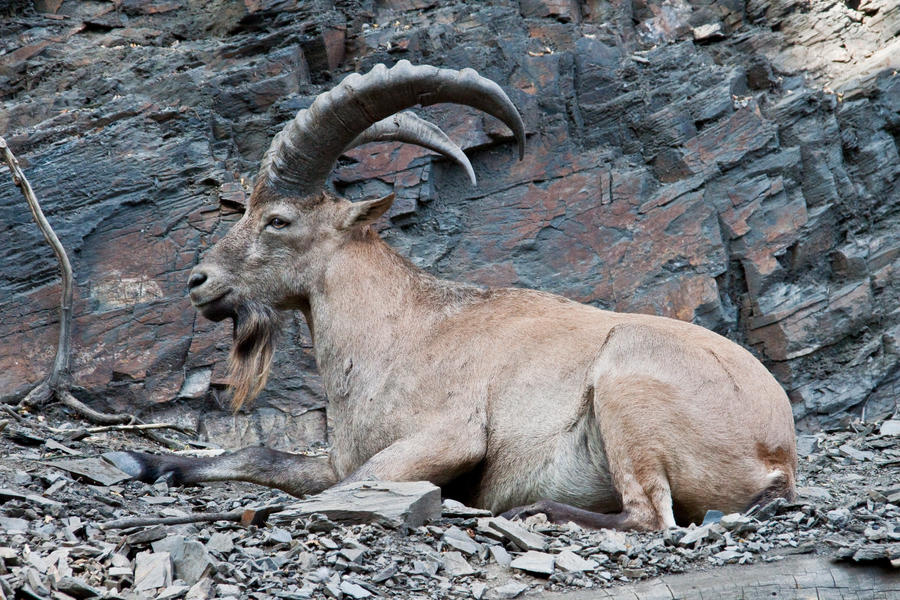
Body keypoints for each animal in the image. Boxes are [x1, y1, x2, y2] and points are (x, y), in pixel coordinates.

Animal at [108, 61, 797, 530]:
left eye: (278, 219)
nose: (199, 282)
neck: (401, 332)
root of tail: (779, 452)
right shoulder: (338, 456)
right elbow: (266, 453)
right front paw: (142, 463)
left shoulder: (449, 436)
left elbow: (353, 484)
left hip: (626, 388)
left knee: (650, 516)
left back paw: (534, 510)